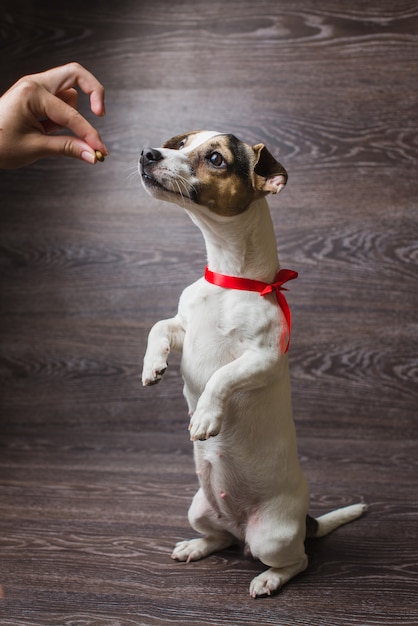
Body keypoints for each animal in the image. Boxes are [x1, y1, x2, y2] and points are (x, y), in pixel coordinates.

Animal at [138, 130, 366, 596]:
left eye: (215, 159)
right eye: (182, 143)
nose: (148, 153)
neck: (229, 280)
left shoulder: (263, 358)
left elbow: (223, 377)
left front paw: (206, 417)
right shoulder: (184, 329)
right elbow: (158, 327)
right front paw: (152, 366)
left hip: (271, 536)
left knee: (297, 561)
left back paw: (268, 579)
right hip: (198, 508)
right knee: (220, 538)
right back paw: (196, 546)